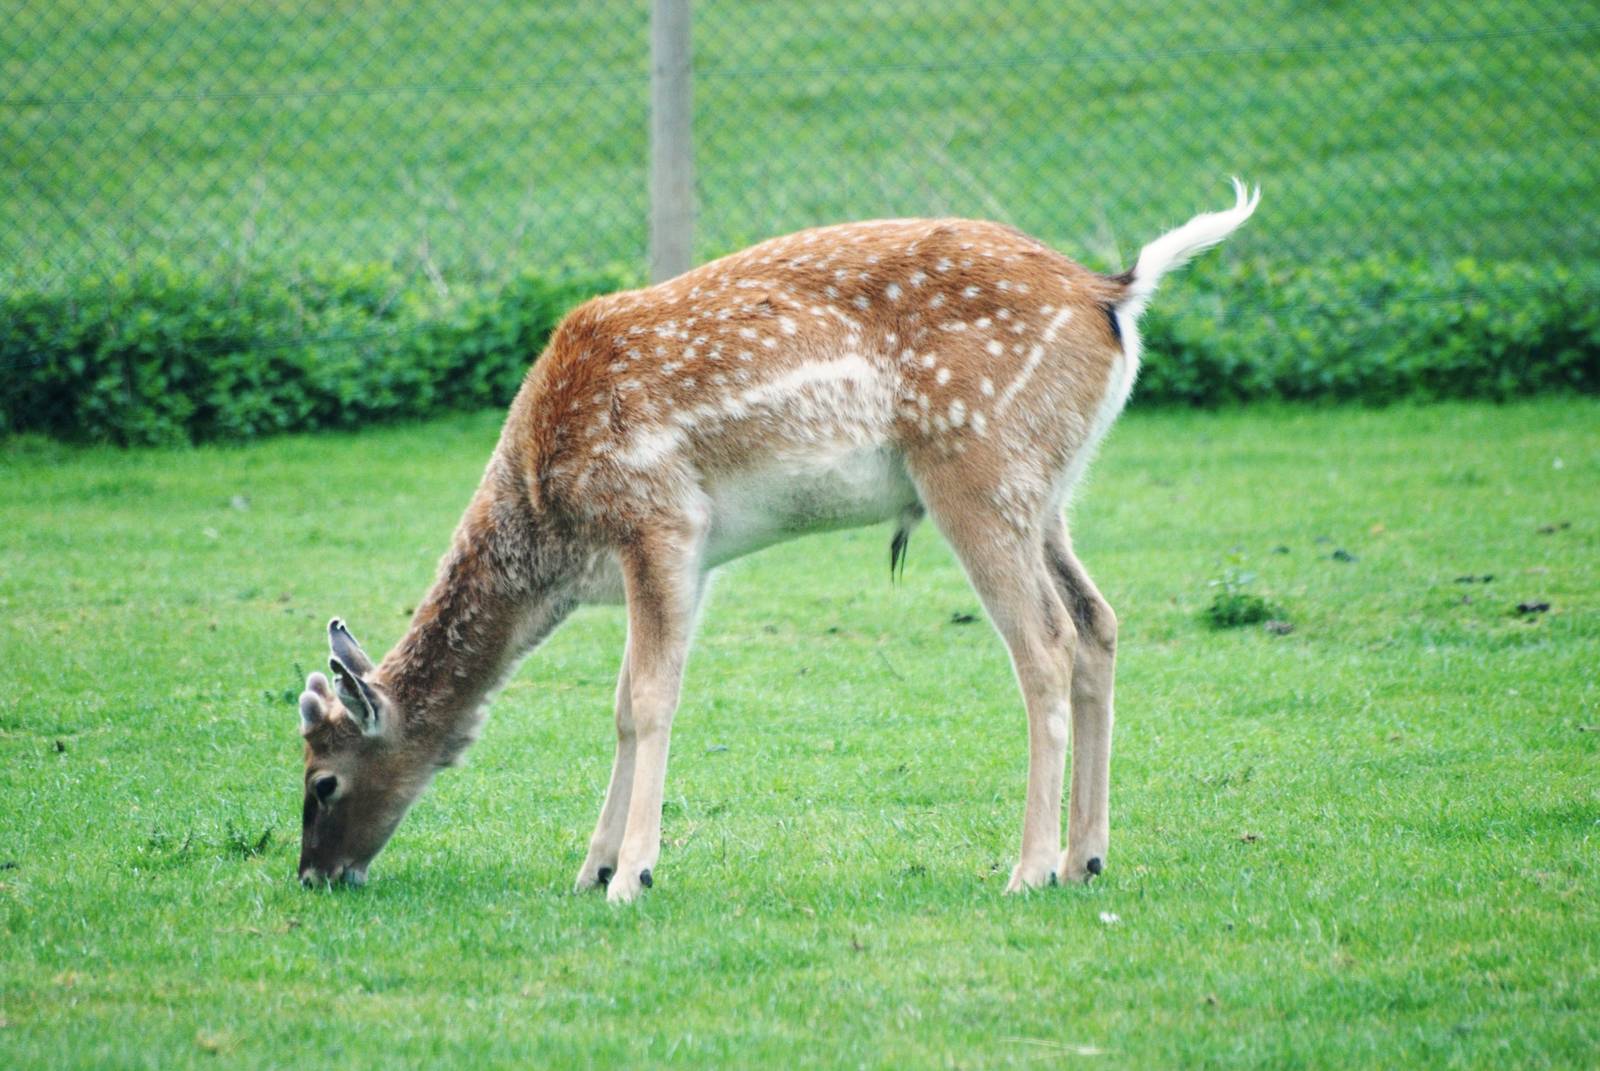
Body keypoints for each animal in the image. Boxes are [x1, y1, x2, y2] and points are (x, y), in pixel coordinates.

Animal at [295, 180, 1260, 903]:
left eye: (322, 778)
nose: (312, 875)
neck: (552, 536)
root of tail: (1116, 293)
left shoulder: (658, 518)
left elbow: (652, 699)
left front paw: (632, 874)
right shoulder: (690, 558)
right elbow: (621, 704)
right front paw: (591, 865)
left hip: (978, 465)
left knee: (1047, 644)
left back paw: (1028, 868)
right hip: (1048, 490)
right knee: (1098, 621)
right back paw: (1086, 856)